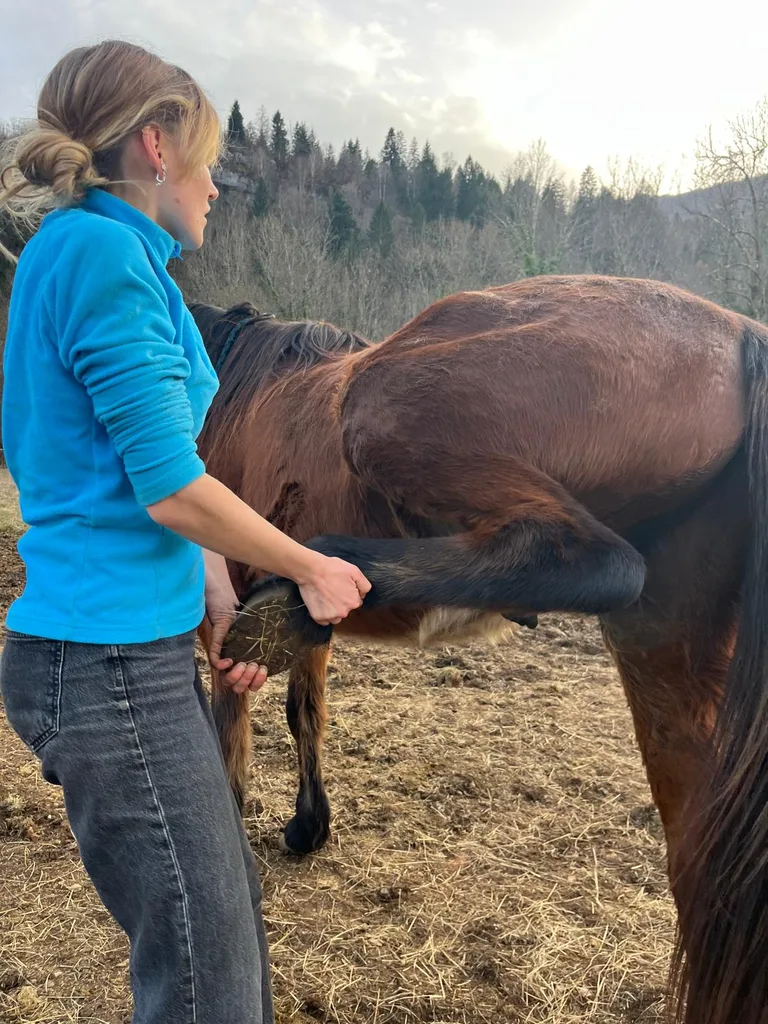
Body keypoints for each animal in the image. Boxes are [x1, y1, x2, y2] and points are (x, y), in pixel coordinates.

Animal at [191, 274, 768, 1024]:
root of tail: (741, 334)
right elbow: (306, 714)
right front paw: (308, 826)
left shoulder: (222, 612)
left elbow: (231, 734)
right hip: (669, 650)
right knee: (703, 875)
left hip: (389, 406)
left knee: (593, 559)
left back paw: (320, 576)